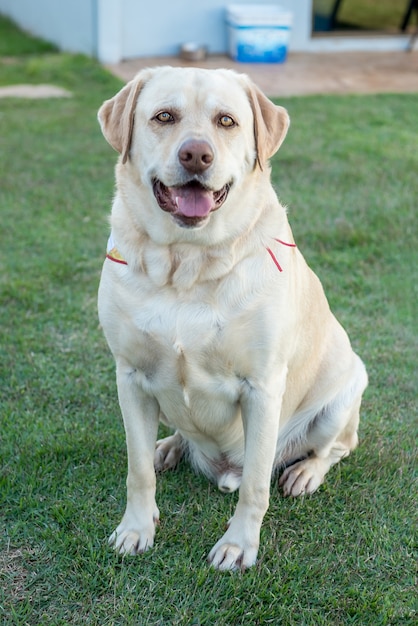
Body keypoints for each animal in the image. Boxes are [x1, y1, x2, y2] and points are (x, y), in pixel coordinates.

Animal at [96, 66, 368, 568]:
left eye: (226, 121)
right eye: (164, 117)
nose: (196, 154)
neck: (187, 264)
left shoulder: (262, 386)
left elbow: (257, 484)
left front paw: (239, 545)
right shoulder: (130, 376)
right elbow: (137, 469)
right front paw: (136, 529)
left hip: (346, 390)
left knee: (338, 447)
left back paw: (305, 472)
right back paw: (170, 447)